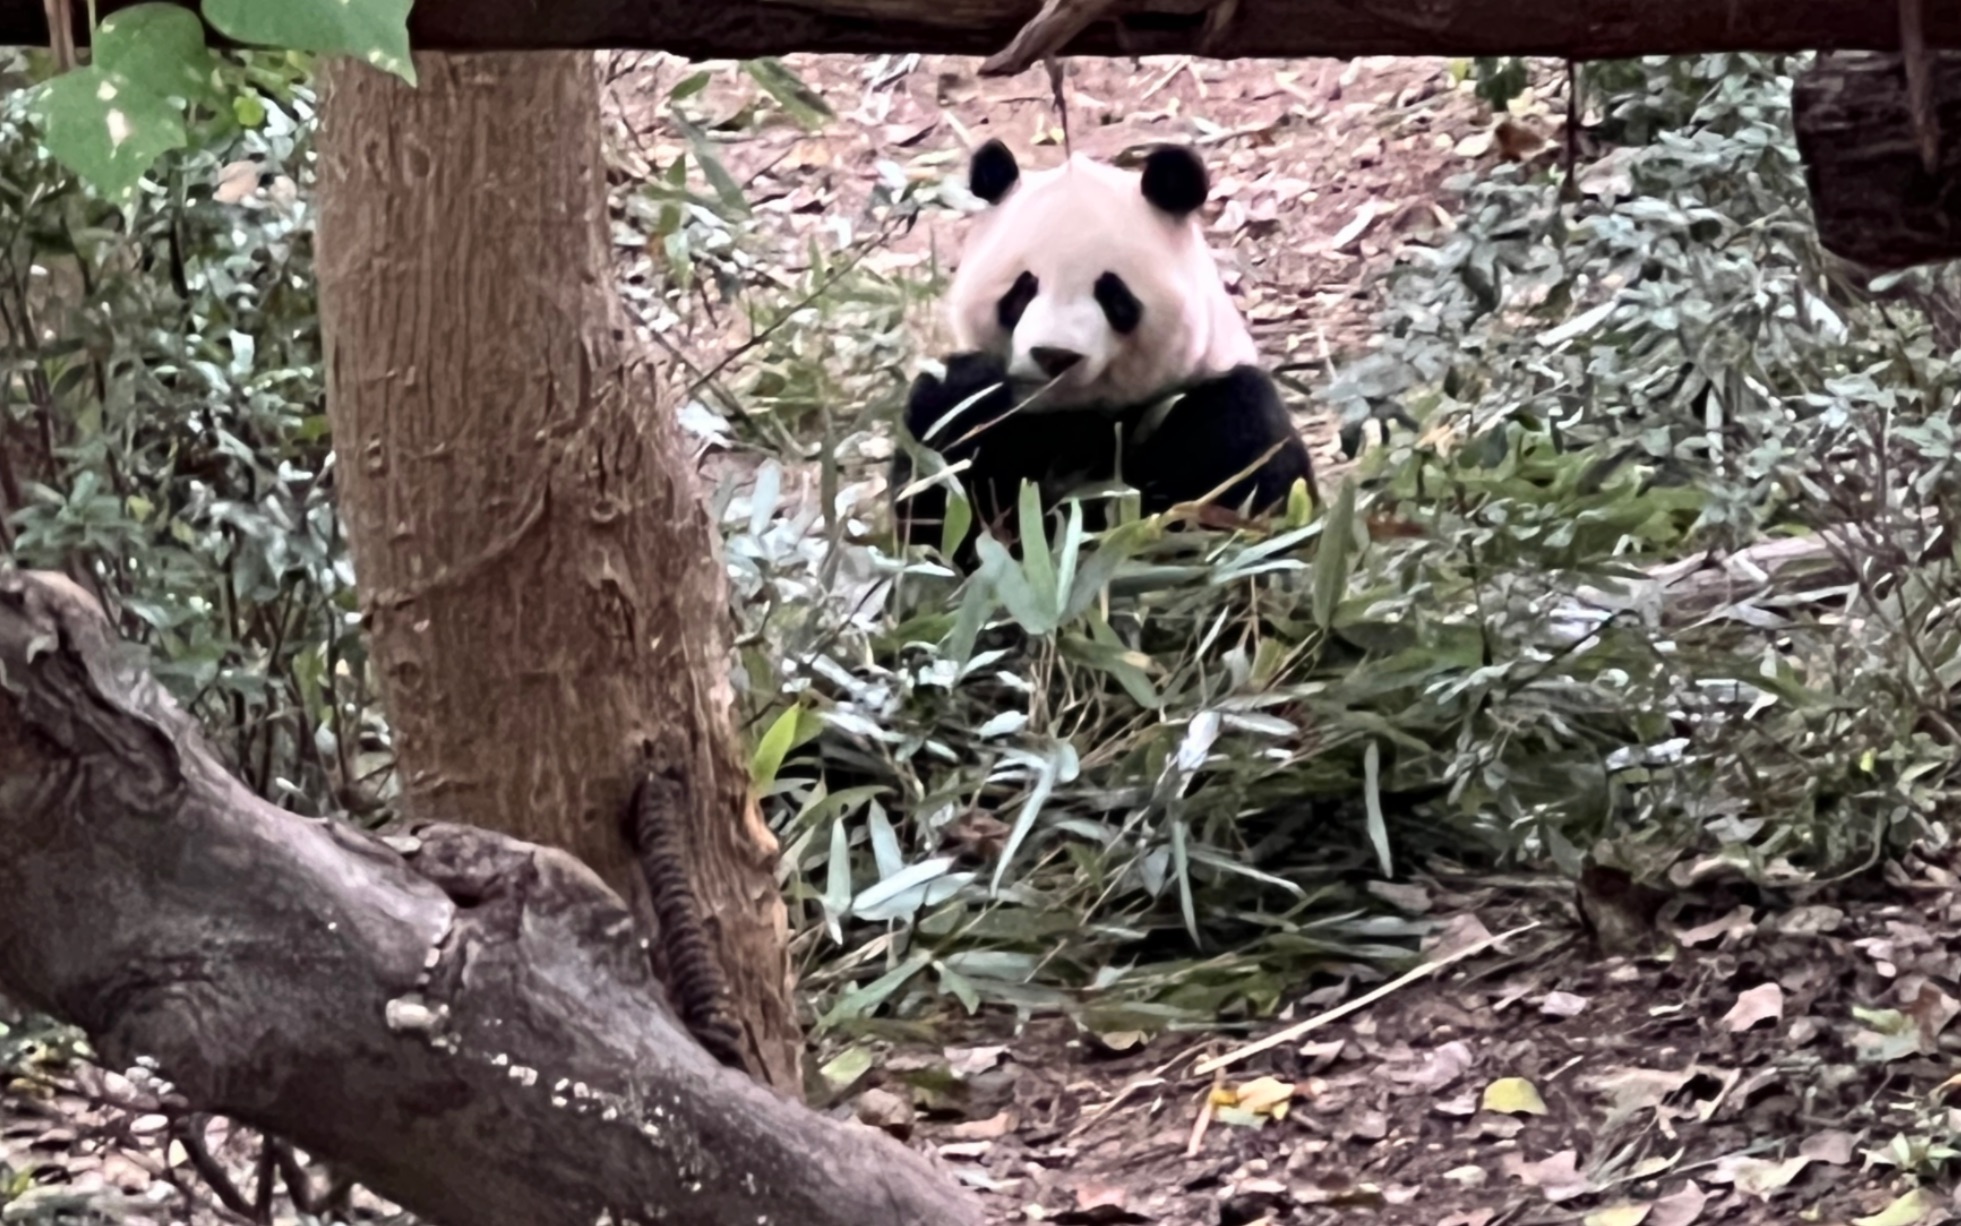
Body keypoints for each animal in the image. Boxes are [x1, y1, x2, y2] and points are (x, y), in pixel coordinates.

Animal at [894, 135, 1317, 568]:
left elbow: (1236, 507)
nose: (1055, 354)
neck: (1074, 414)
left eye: (1113, 294)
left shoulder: (1222, 401)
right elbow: (940, 514)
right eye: (1023, 289)